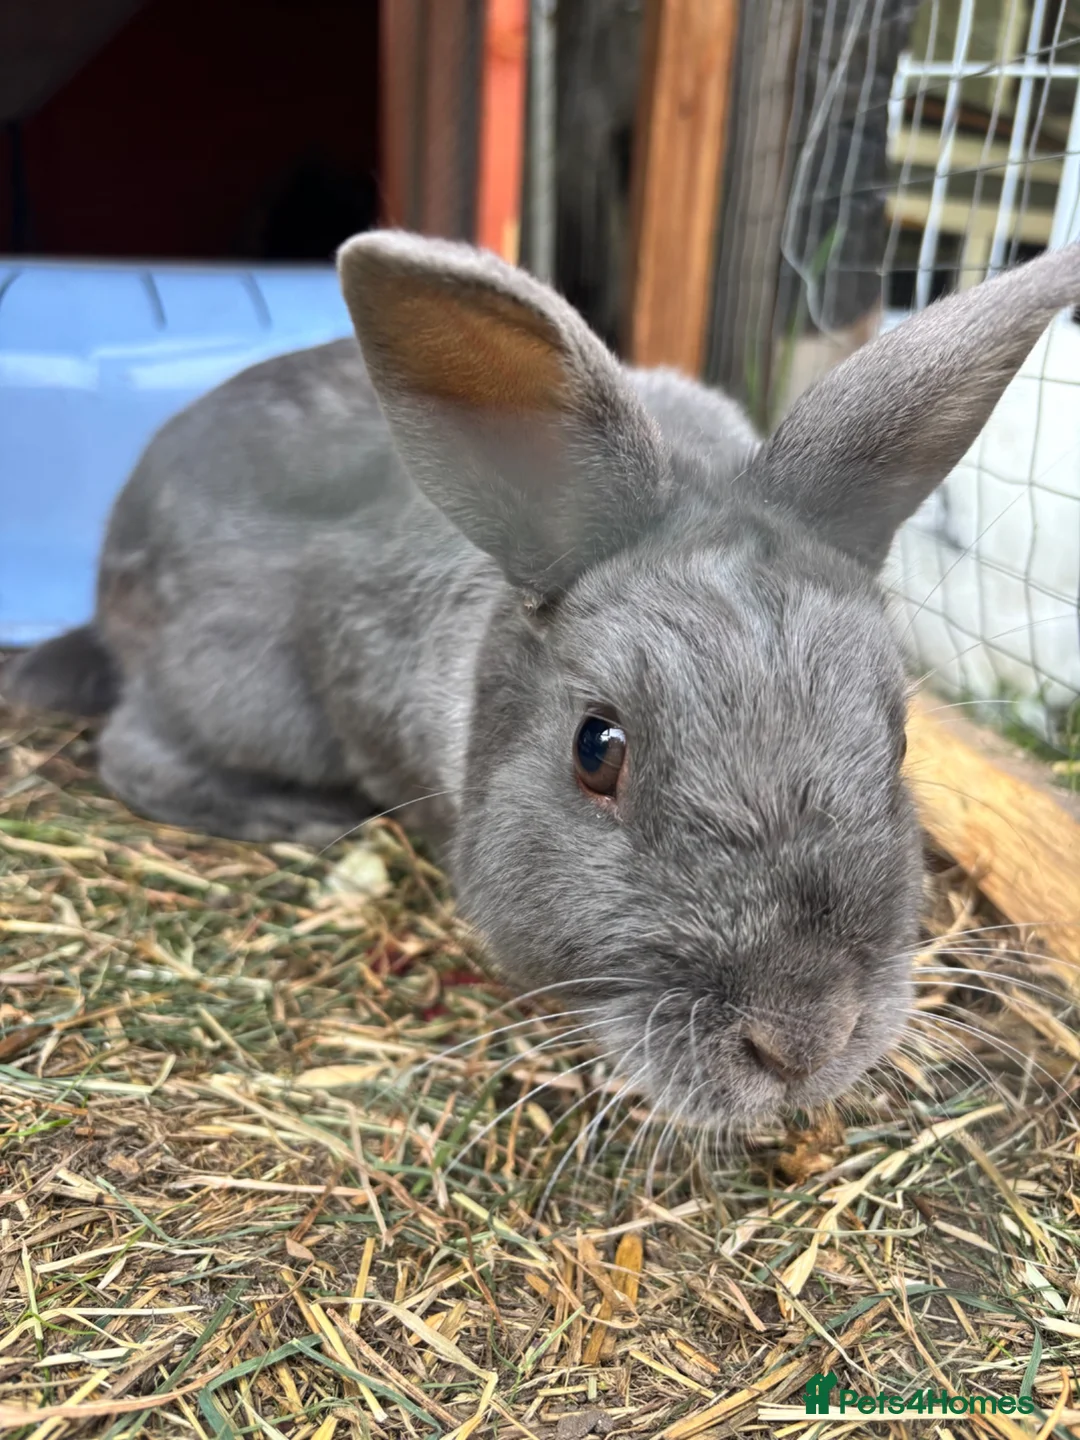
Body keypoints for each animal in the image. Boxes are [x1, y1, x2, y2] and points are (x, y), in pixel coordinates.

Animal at [6, 232, 1080, 1128]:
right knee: (133, 752)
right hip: (240, 696)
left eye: (896, 742)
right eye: (597, 751)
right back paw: (289, 815)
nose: (802, 1041)